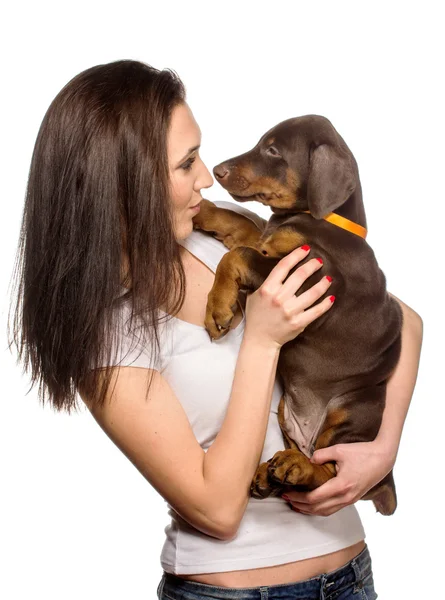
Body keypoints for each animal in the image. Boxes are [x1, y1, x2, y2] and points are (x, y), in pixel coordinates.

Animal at [191, 115, 402, 512]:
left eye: (273, 150)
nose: (217, 170)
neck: (322, 219)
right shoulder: (274, 247)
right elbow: (244, 228)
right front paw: (205, 210)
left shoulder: (309, 276)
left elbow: (238, 254)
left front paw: (218, 308)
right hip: (284, 410)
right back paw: (272, 473)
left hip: (356, 409)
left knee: (331, 470)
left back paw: (296, 468)